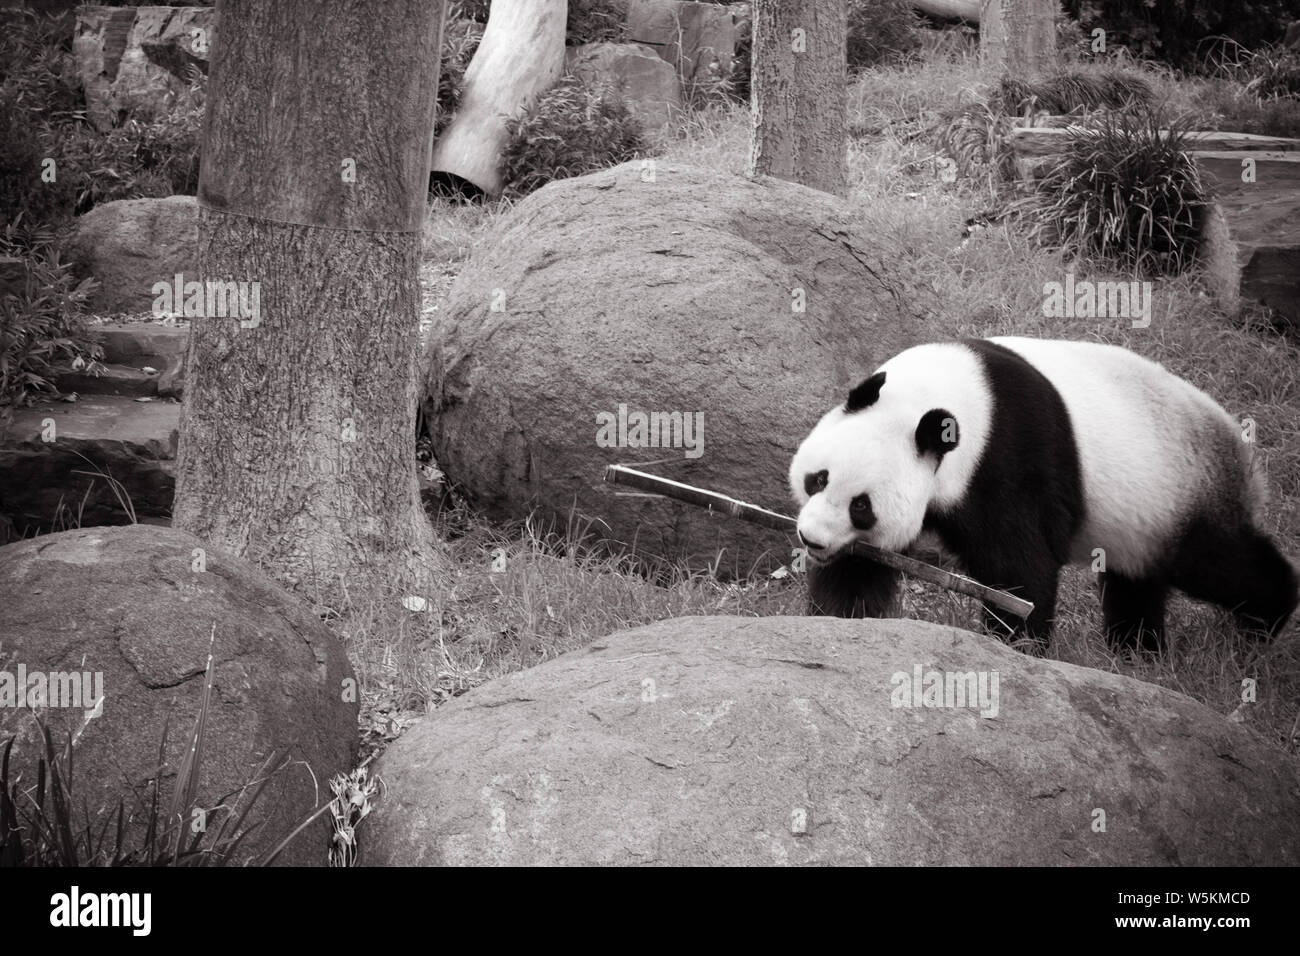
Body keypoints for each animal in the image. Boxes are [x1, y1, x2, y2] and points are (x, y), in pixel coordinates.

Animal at [785, 332, 1294, 655]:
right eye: (819, 479)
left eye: (862, 507)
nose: (812, 539)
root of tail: (1243, 451)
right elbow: (859, 570)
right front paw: (839, 619)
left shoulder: (1007, 458)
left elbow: (1020, 565)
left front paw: (1017, 646)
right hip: (1145, 517)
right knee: (1136, 580)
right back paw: (1136, 652)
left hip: (1184, 493)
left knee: (1220, 562)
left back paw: (1263, 624)